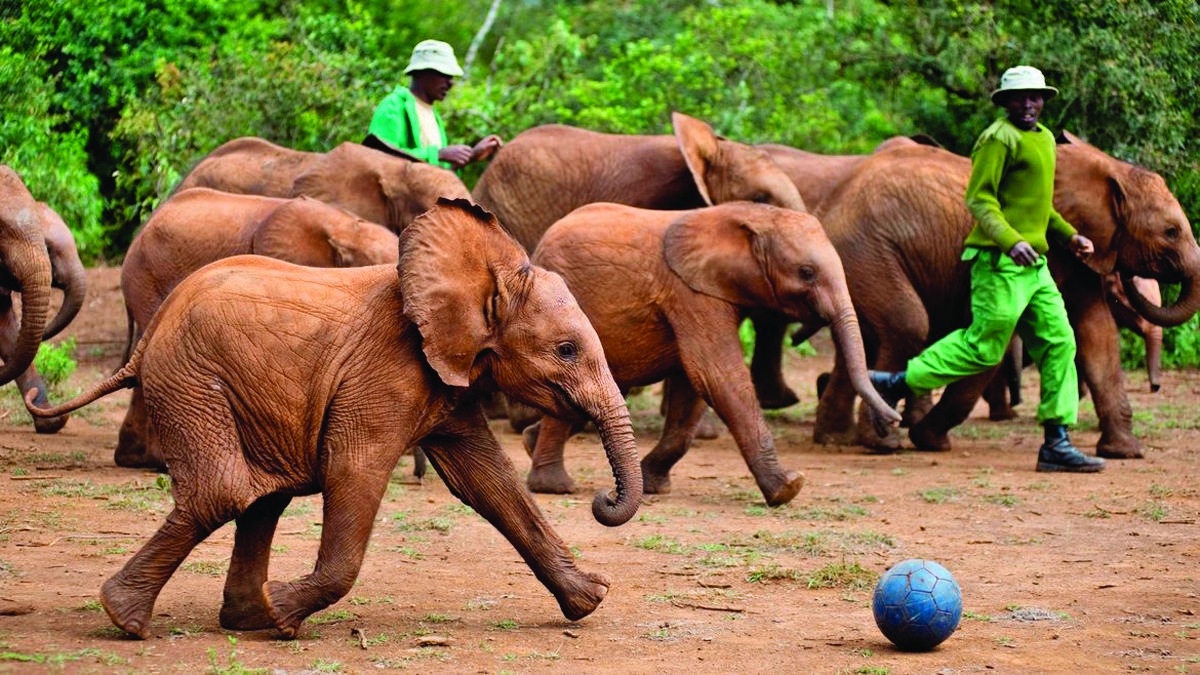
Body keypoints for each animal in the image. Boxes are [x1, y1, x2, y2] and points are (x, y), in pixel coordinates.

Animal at [28, 198, 643, 634]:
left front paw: (590, 600)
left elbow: (490, 485)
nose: (601, 500)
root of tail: (148, 336)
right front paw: (287, 610)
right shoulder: (385, 374)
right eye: (566, 350)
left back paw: (245, 619)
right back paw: (130, 618)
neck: (482, 272)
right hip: (192, 380)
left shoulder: (448, 381)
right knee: (226, 493)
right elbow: (356, 473)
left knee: (262, 498)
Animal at [525, 199, 902, 504]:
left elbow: (691, 388)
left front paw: (653, 485)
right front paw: (788, 488)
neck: (749, 215)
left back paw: (531, 444)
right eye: (806, 273)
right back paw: (554, 486)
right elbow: (716, 375)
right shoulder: (691, 293)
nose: (892, 421)